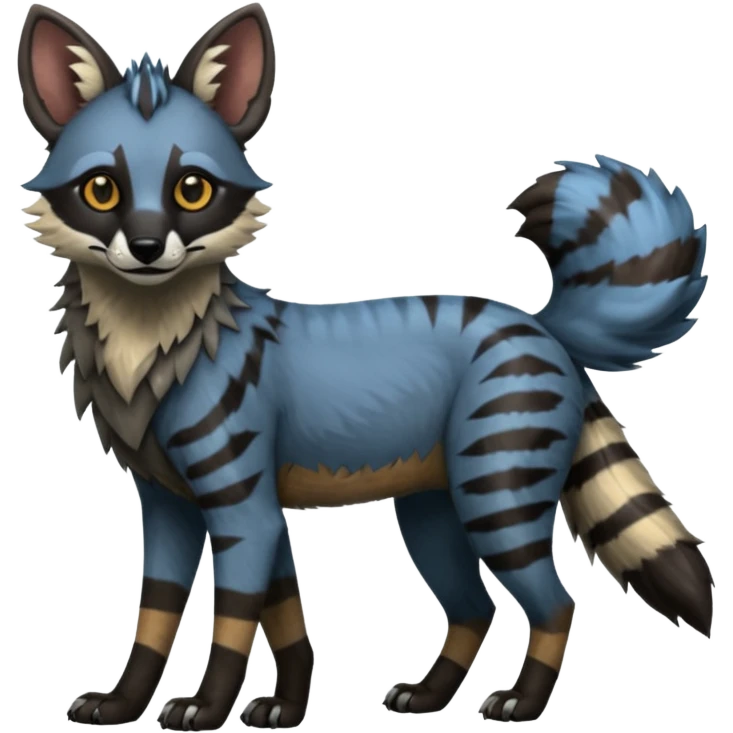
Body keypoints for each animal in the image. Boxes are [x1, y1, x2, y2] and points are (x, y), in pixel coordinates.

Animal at [18, 2, 714, 730]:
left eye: (192, 189)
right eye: (102, 189)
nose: (149, 248)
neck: (148, 347)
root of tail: (540, 323)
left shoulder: (241, 506)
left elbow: (232, 620)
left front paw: (207, 707)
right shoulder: (175, 505)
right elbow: (197, 615)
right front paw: (169, 704)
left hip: (495, 497)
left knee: (555, 603)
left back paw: (522, 702)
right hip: (432, 511)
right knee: (474, 607)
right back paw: (429, 696)